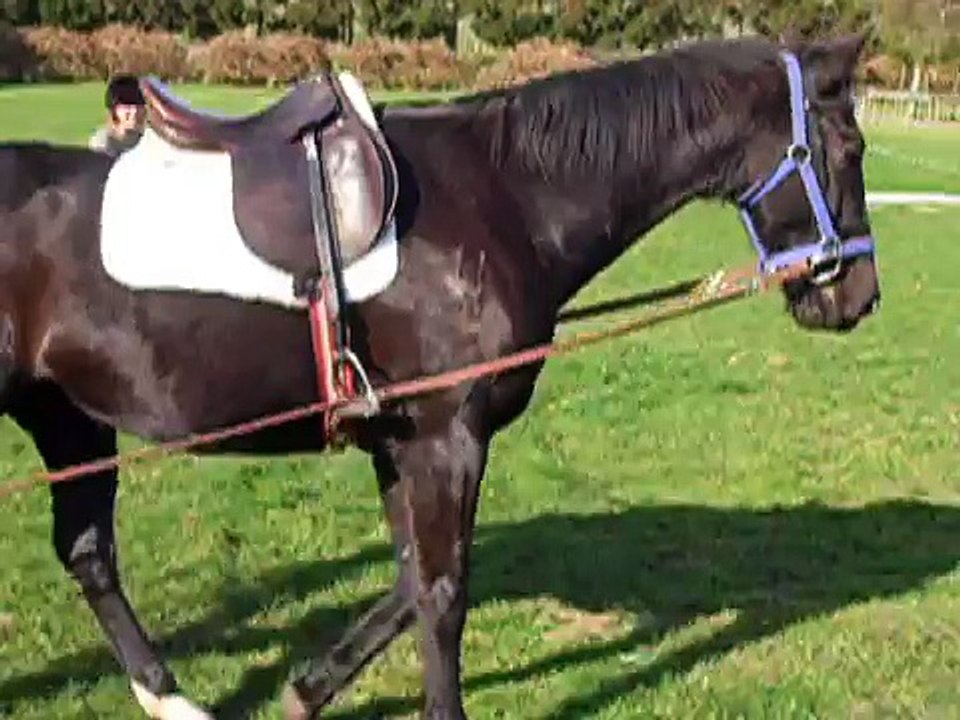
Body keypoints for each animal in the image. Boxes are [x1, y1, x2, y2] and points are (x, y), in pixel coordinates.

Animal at [0, 33, 880, 719]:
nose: (859, 297)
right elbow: (446, 590)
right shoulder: (447, 439)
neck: (501, 198)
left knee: (87, 552)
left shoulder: (400, 440)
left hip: (69, 417)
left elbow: (412, 579)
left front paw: (308, 688)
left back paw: (167, 694)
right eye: (851, 149)